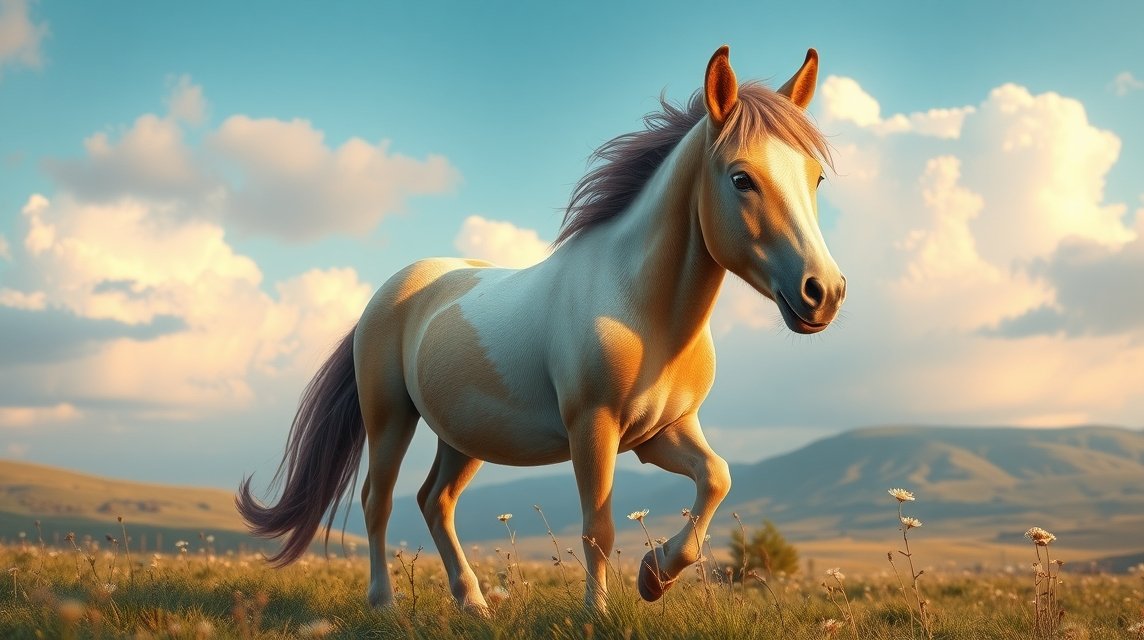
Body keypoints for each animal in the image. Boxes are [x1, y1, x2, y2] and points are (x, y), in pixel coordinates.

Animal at [237, 45, 845, 614]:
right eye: (742, 179)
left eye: (815, 177)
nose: (824, 293)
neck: (640, 309)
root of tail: (389, 293)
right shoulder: (592, 430)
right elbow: (598, 528)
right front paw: (598, 613)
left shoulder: (661, 434)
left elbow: (716, 478)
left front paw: (654, 576)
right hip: (389, 419)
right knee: (377, 501)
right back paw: (385, 603)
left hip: (463, 436)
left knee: (435, 501)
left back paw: (473, 603)